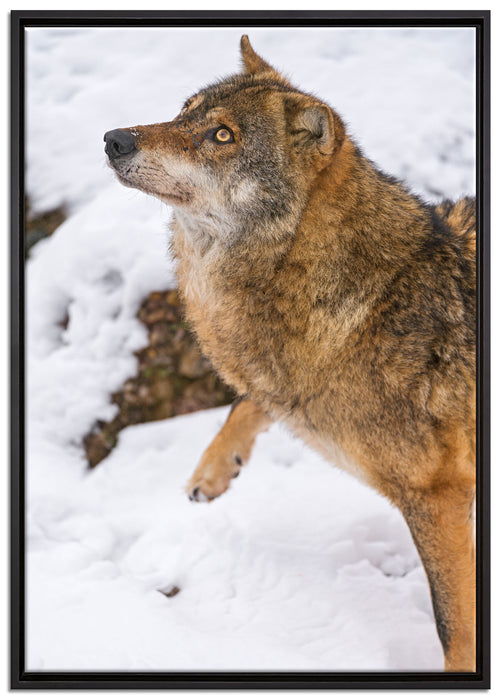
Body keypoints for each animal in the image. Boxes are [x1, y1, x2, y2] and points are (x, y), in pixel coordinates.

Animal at [104, 36, 476, 672]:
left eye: (222, 135)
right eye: (183, 113)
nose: (114, 139)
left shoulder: (439, 497)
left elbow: (455, 625)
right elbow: (249, 398)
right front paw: (213, 469)